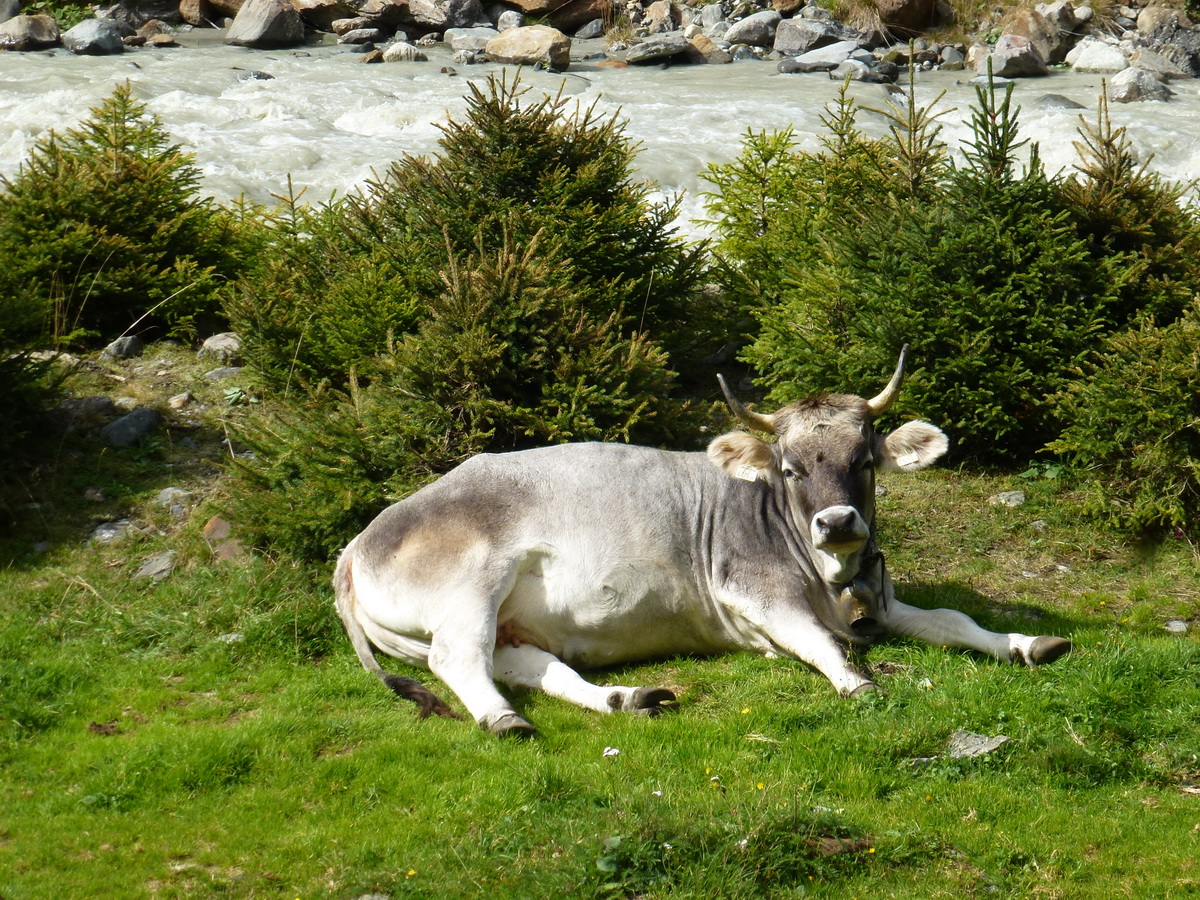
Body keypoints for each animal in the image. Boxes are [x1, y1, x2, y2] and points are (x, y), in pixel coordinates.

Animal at [333, 348, 1075, 734]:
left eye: (865, 461)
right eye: (790, 467)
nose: (838, 522)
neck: (829, 575)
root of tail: (361, 537)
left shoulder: (882, 597)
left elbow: (952, 618)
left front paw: (1025, 643)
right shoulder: (756, 594)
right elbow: (822, 643)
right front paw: (857, 684)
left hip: (508, 625)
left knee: (526, 667)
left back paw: (625, 699)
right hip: (470, 587)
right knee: (459, 660)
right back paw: (504, 719)